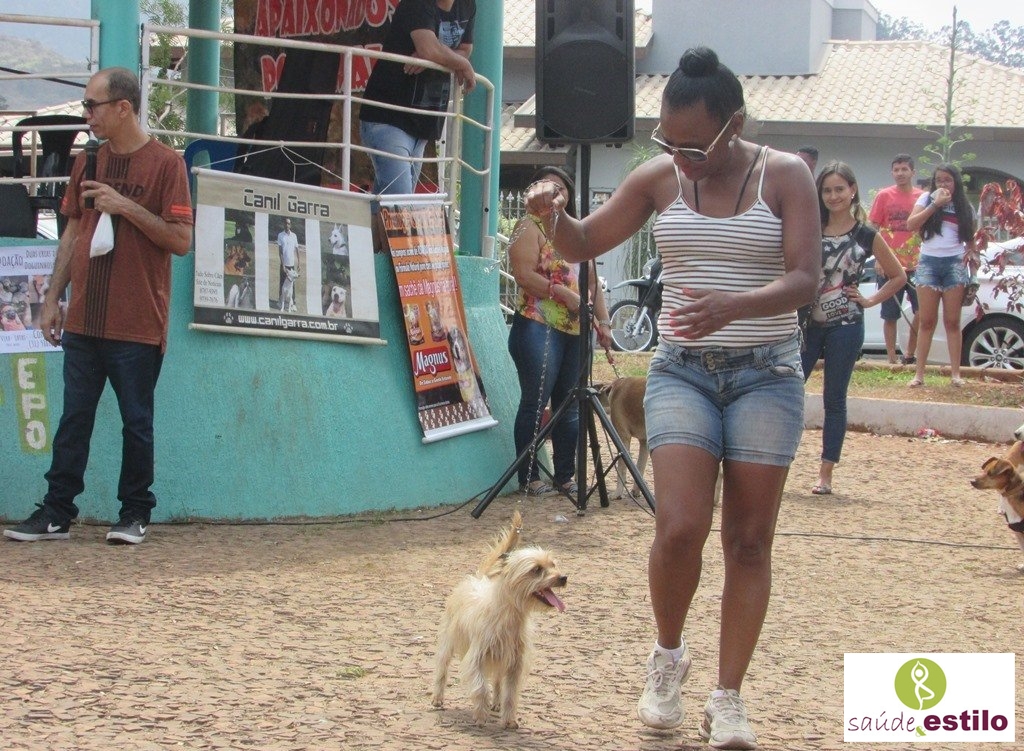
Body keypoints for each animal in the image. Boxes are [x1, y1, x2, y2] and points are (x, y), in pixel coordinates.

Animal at [431, 509, 566, 729]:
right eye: (536, 569)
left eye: (553, 564)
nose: (563, 577)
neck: (509, 616)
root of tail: (479, 577)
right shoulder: (476, 659)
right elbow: (480, 688)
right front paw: (480, 716)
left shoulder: (514, 665)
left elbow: (510, 694)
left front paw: (509, 718)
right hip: (448, 643)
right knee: (442, 669)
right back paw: (437, 698)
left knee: (496, 681)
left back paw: (496, 703)